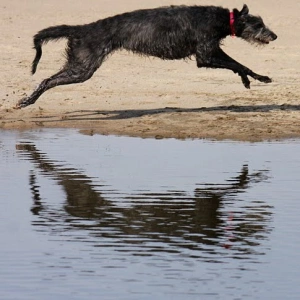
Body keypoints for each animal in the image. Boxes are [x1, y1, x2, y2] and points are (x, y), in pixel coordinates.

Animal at [15, 3, 276, 109]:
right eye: (258, 24)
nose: (274, 36)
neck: (223, 19)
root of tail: (83, 28)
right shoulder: (206, 54)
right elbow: (239, 64)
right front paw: (260, 78)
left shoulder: (210, 50)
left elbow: (237, 65)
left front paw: (248, 80)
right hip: (83, 67)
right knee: (47, 80)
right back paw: (28, 101)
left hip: (80, 64)